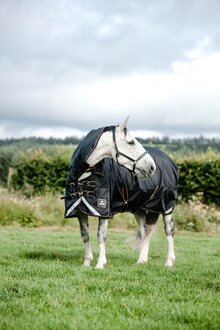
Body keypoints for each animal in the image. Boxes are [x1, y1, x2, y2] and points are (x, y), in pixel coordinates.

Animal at [64, 118, 178, 268]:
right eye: (131, 142)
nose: (152, 167)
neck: (83, 177)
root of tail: (169, 161)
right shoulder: (79, 211)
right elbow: (85, 235)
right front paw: (87, 262)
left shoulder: (104, 211)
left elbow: (101, 236)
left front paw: (100, 264)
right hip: (140, 210)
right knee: (145, 232)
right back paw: (142, 260)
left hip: (166, 207)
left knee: (169, 230)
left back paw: (169, 261)